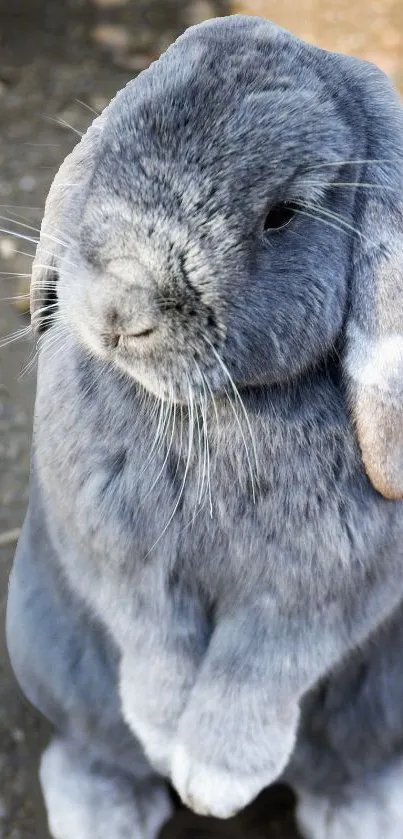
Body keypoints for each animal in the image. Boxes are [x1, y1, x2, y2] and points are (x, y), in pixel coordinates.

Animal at [5, 11, 403, 839]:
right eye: (110, 143)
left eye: (281, 214)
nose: (120, 308)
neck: (214, 408)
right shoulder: (121, 560)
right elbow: (154, 641)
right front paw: (166, 742)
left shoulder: (318, 593)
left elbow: (259, 666)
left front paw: (215, 783)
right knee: (88, 748)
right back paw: (106, 811)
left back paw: (360, 815)